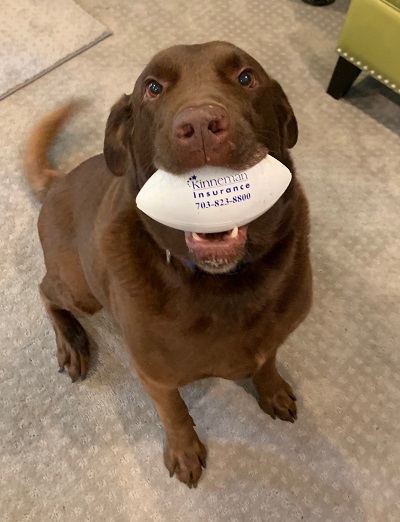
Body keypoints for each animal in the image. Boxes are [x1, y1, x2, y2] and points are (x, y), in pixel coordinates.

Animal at [24, 41, 312, 488]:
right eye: (153, 87)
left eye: (246, 77)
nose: (200, 125)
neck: (225, 285)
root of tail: (58, 180)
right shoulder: (154, 376)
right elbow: (174, 412)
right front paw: (184, 450)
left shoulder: (274, 337)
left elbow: (267, 362)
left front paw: (273, 389)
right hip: (80, 289)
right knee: (45, 291)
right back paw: (71, 342)